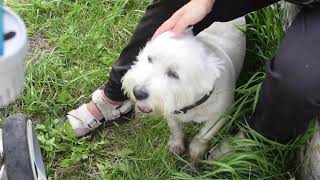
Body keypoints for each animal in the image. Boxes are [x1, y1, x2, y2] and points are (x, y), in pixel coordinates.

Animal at [121, 17, 246, 162]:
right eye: (149, 58)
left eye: (174, 74)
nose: (137, 92)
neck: (190, 104)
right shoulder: (171, 109)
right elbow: (175, 128)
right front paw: (177, 144)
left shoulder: (220, 116)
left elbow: (204, 135)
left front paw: (196, 152)